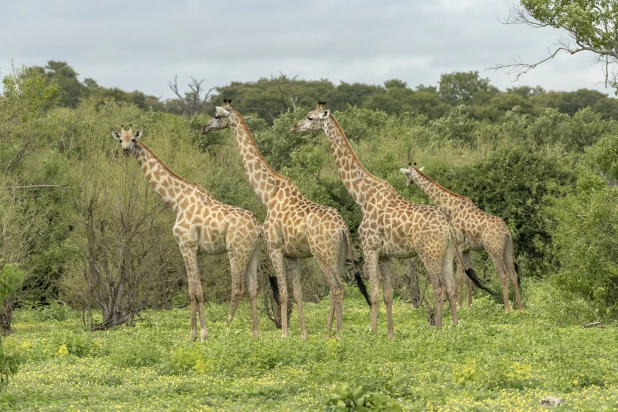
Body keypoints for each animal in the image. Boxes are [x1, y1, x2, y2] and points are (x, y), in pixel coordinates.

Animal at [110, 124, 260, 342]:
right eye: (121, 139)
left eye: (134, 139)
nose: (126, 150)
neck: (176, 201)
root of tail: (258, 228)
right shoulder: (190, 249)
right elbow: (192, 290)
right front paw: (194, 334)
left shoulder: (187, 246)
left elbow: (196, 291)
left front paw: (201, 334)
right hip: (253, 253)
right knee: (253, 288)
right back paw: (255, 334)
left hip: (236, 251)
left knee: (237, 289)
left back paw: (225, 327)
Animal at [200, 101, 368, 340]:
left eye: (216, 116)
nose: (203, 128)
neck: (267, 195)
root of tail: (343, 227)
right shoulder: (293, 255)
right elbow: (297, 293)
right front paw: (304, 335)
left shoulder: (275, 249)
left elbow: (283, 292)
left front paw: (285, 335)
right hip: (339, 254)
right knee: (338, 288)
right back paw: (333, 332)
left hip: (323, 254)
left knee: (337, 288)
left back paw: (334, 335)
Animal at [398, 163, 524, 310]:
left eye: (406, 174)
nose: (405, 184)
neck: (449, 206)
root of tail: (506, 231)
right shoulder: (466, 249)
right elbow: (467, 278)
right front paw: (469, 306)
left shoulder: (457, 245)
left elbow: (459, 277)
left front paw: (459, 306)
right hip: (508, 249)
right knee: (513, 274)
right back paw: (520, 309)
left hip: (493, 249)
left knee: (503, 275)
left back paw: (507, 309)